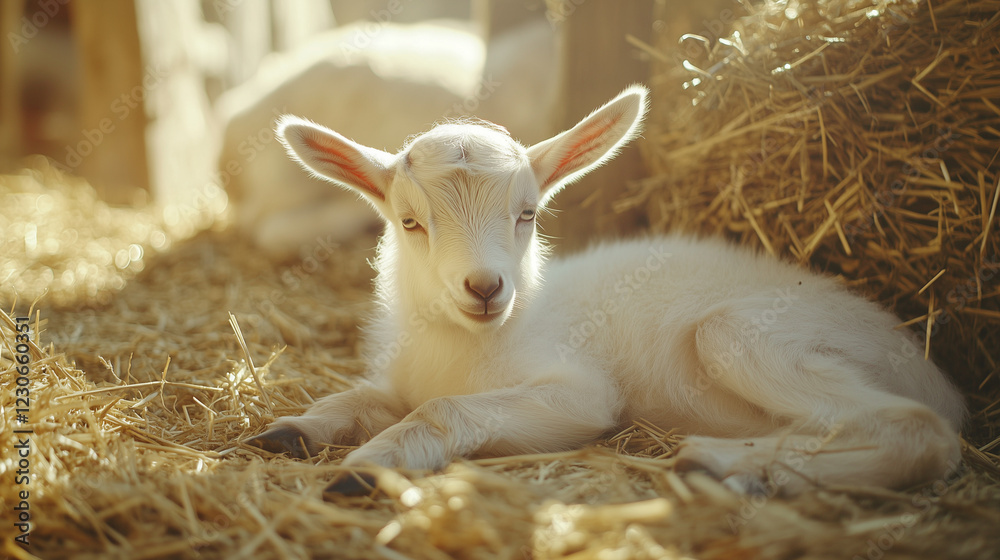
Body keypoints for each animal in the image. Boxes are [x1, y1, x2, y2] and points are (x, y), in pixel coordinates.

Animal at [249, 85, 965, 495]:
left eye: (528, 213)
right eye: (409, 221)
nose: (486, 288)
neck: (472, 343)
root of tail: (944, 381)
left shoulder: (580, 392)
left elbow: (443, 410)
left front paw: (366, 466)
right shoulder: (398, 379)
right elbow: (356, 398)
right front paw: (289, 432)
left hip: (745, 333)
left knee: (914, 429)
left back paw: (733, 468)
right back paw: (726, 464)